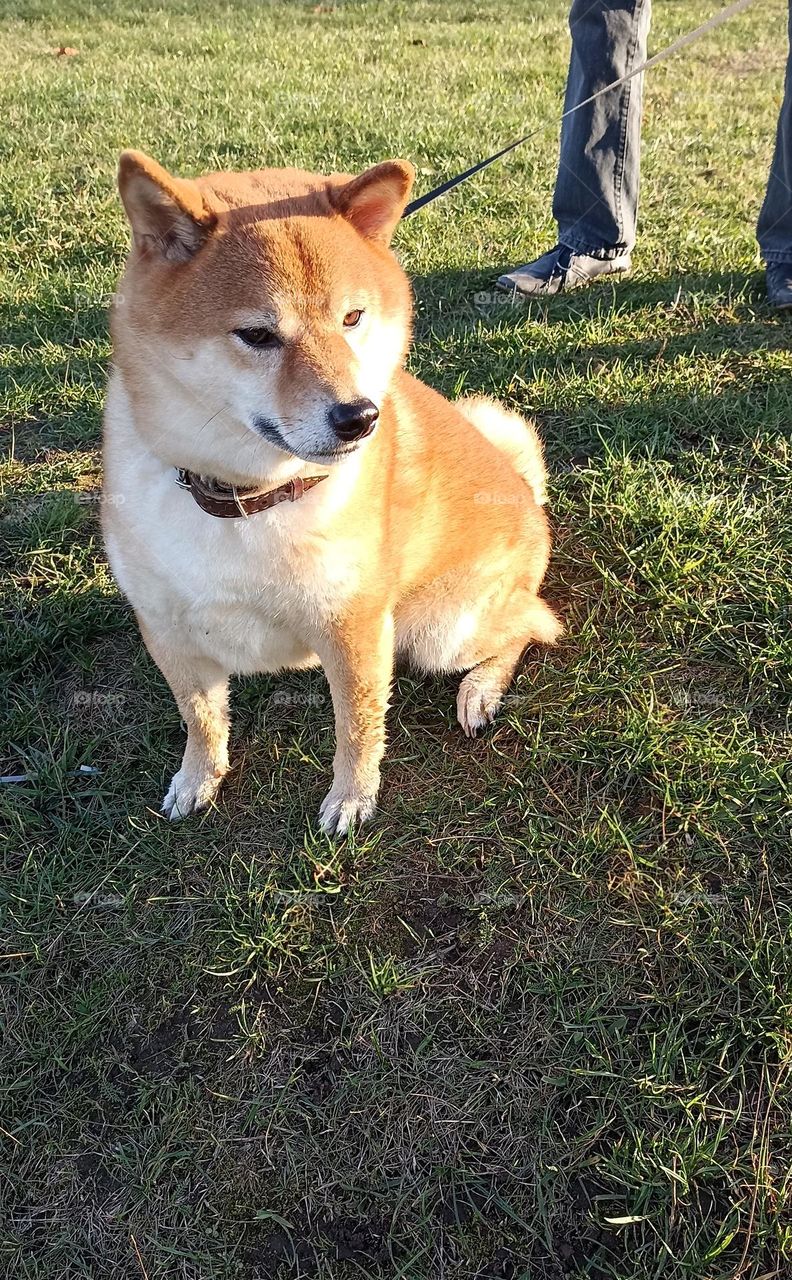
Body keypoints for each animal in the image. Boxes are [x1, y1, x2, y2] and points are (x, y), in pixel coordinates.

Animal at [103, 149, 562, 834]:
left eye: (352, 318)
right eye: (257, 334)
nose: (359, 417)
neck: (247, 497)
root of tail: (527, 494)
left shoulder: (354, 627)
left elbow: (359, 726)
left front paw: (352, 798)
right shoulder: (167, 625)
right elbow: (201, 718)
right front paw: (198, 779)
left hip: (440, 629)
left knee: (531, 625)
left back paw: (480, 691)